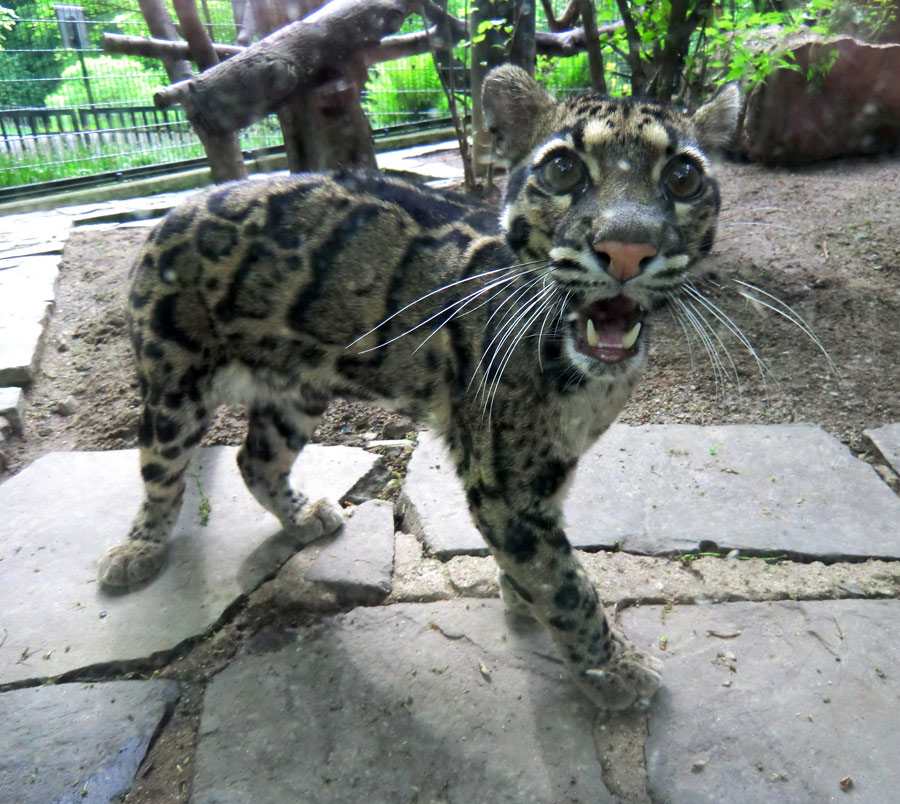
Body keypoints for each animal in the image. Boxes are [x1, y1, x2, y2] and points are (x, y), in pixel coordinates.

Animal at [102, 66, 740, 712]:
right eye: (563, 169)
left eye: (683, 178)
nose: (628, 249)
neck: (586, 379)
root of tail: (176, 208)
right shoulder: (503, 484)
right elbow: (564, 584)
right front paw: (611, 667)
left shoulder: (547, 469)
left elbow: (542, 564)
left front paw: (523, 598)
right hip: (174, 380)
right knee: (162, 471)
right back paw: (137, 551)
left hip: (296, 389)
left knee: (254, 458)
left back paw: (301, 517)